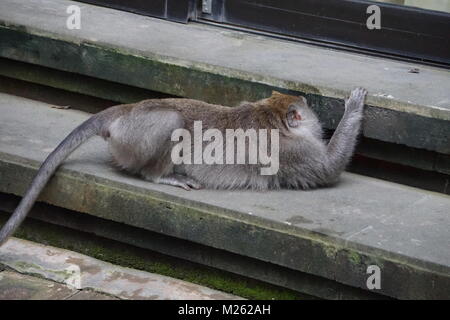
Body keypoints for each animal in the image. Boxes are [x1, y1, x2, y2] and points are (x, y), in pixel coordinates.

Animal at [0, 86, 366, 244]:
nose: (309, 106)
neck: (270, 116)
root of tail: (124, 111)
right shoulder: (294, 152)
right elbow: (328, 169)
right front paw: (355, 106)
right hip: (135, 134)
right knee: (172, 121)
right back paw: (161, 176)